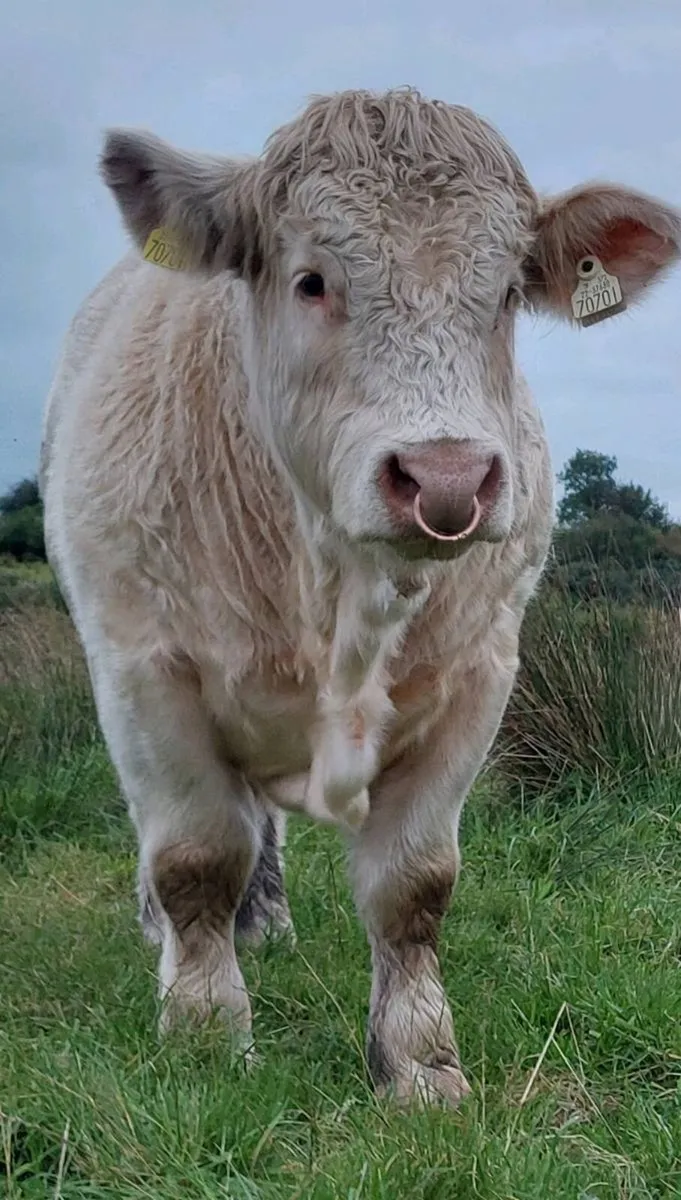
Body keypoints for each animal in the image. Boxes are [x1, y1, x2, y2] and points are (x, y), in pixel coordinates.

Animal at [40, 87, 680, 1108]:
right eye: (310, 280)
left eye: (506, 294)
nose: (446, 477)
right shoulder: (145, 671)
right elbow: (193, 859)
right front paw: (203, 1042)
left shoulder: (478, 679)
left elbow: (413, 885)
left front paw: (418, 1066)